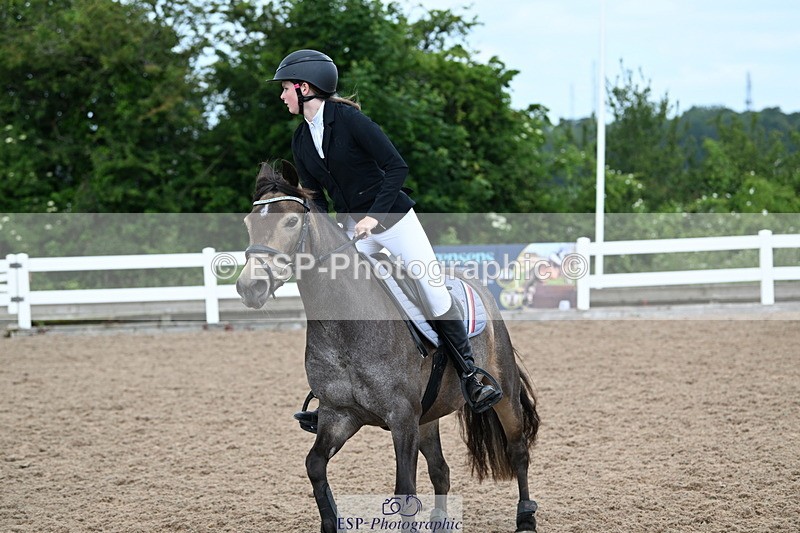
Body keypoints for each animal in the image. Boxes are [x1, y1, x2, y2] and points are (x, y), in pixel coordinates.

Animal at [235, 162, 541, 532]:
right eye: (249, 223)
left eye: (291, 222)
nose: (250, 286)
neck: (345, 330)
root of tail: (477, 285)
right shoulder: (340, 414)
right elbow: (315, 466)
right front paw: (331, 522)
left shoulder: (402, 418)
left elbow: (405, 491)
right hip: (428, 416)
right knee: (441, 471)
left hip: (504, 395)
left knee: (518, 451)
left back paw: (525, 518)